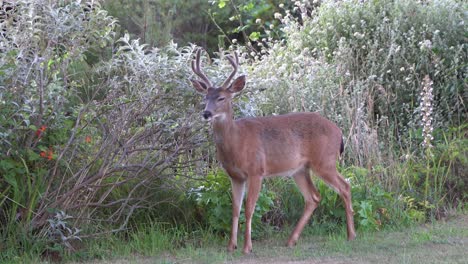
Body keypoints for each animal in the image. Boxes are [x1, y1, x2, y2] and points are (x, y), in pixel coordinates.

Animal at [189, 49, 354, 254]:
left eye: (222, 98)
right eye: (205, 97)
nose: (206, 113)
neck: (236, 142)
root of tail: (339, 132)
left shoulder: (256, 170)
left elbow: (249, 208)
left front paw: (247, 247)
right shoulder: (235, 176)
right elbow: (234, 209)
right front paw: (231, 246)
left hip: (324, 161)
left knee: (345, 187)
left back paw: (351, 235)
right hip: (300, 169)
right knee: (313, 197)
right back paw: (291, 240)